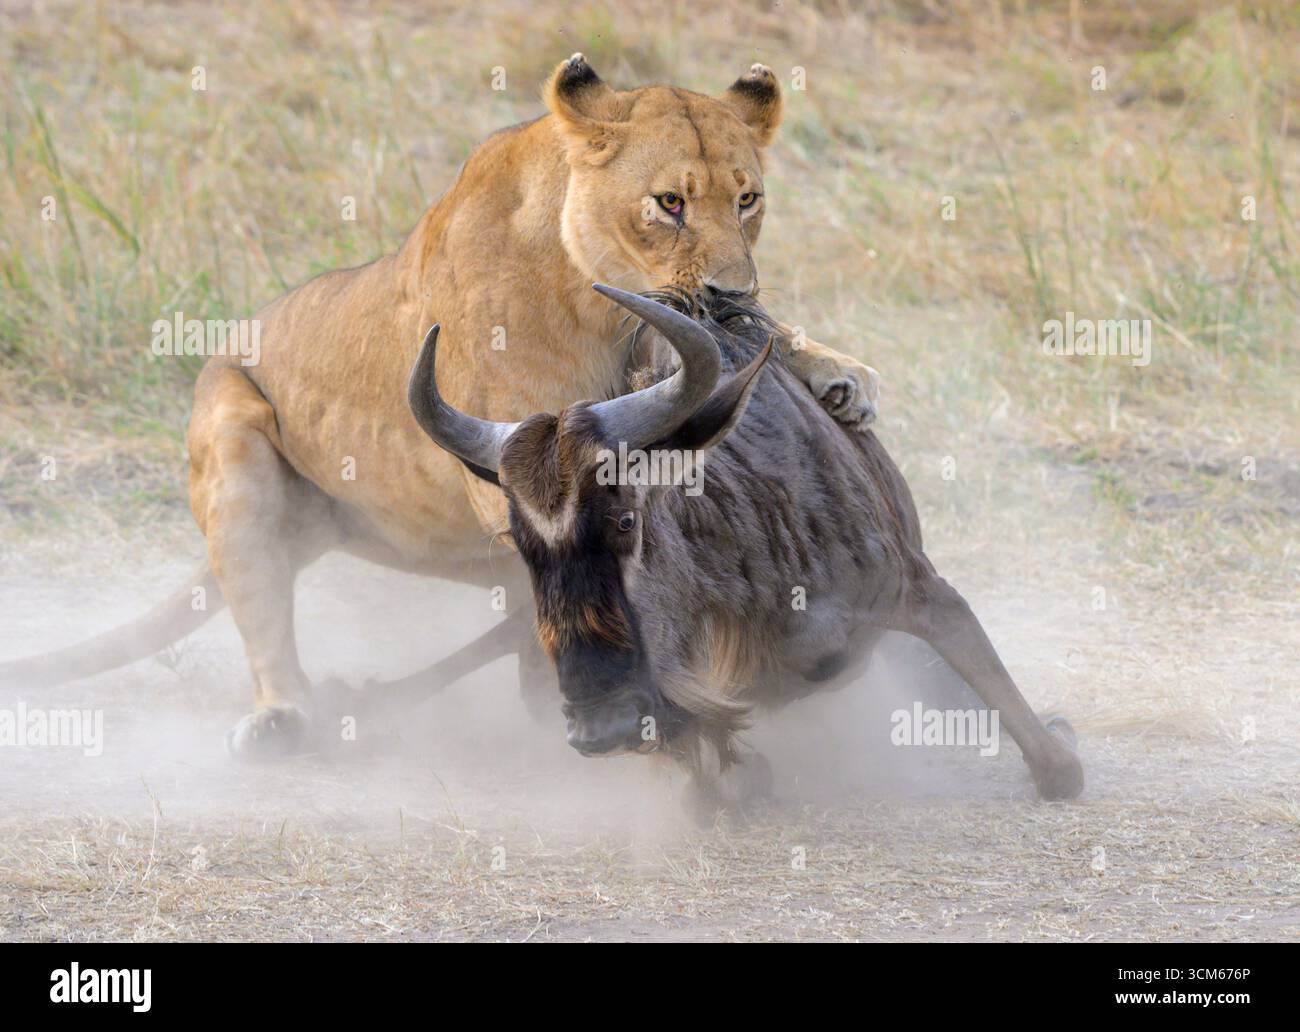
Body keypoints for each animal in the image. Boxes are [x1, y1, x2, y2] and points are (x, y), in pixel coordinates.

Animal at [1, 55, 882, 758]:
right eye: (669, 203)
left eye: (748, 200)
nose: (732, 295)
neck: (606, 309)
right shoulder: (525, 461)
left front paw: (839, 372)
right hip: (232, 433)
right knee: (268, 621)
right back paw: (288, 719)